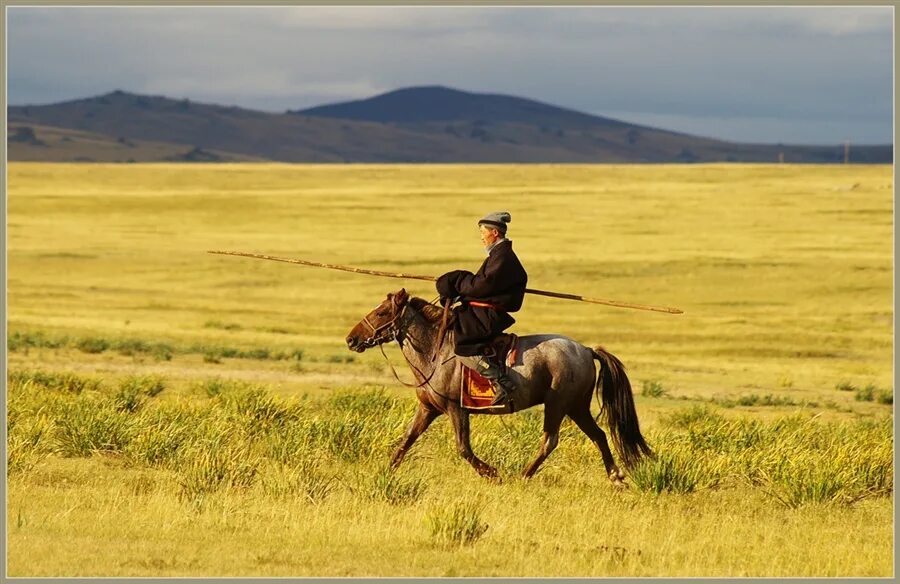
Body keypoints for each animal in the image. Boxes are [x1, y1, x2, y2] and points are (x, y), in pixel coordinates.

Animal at [346, 286, 652, 484]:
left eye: (382, 313)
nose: (352, 339)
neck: (435, 352)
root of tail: (586, 350)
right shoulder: (428, 409)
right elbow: (406, 441)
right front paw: (385, 472)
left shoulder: (456, 409)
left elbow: (463, 448)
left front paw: (493, 474)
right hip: (577, 407)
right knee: (598, 435)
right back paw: (616, 477)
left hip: (558, 404)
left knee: (550, 440)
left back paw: (524, 476)